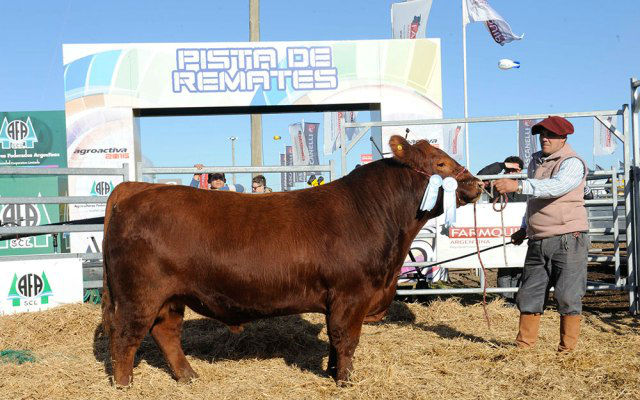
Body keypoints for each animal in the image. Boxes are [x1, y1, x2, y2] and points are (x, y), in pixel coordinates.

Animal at [101, 136, 480, 386]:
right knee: (125, 335)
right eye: (441, 164)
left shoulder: (340, 299)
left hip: (171, 297)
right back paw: (124, 384)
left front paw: (333, 372)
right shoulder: (351, 294)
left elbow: (335, 340)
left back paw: (189, 376)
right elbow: (346, 338)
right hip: (140, 293)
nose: (477, 184)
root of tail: (135, 189)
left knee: (166, 332)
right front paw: (345, 381)